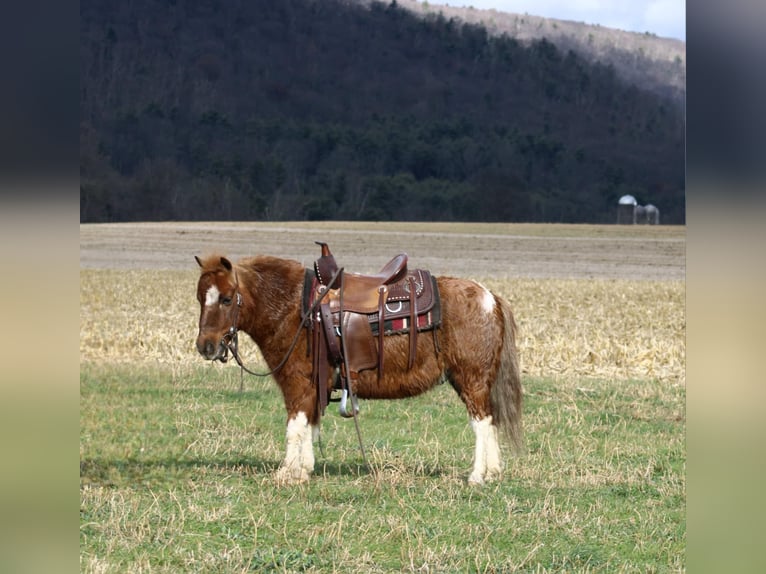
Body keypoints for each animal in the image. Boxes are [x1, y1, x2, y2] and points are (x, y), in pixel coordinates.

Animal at [195, 252, 524, 486]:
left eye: (226, 298)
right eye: (200, 298)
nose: (205, 346)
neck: (294, 309)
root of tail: (490, 298)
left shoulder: (297, 383)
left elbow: (295, 428)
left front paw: (286, 474)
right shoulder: (314, 386)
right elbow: (310, 426)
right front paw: (303, 470)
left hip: (472, 379)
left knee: (482, 423)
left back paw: (478, 476)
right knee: (490, 422)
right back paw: (493, 472)